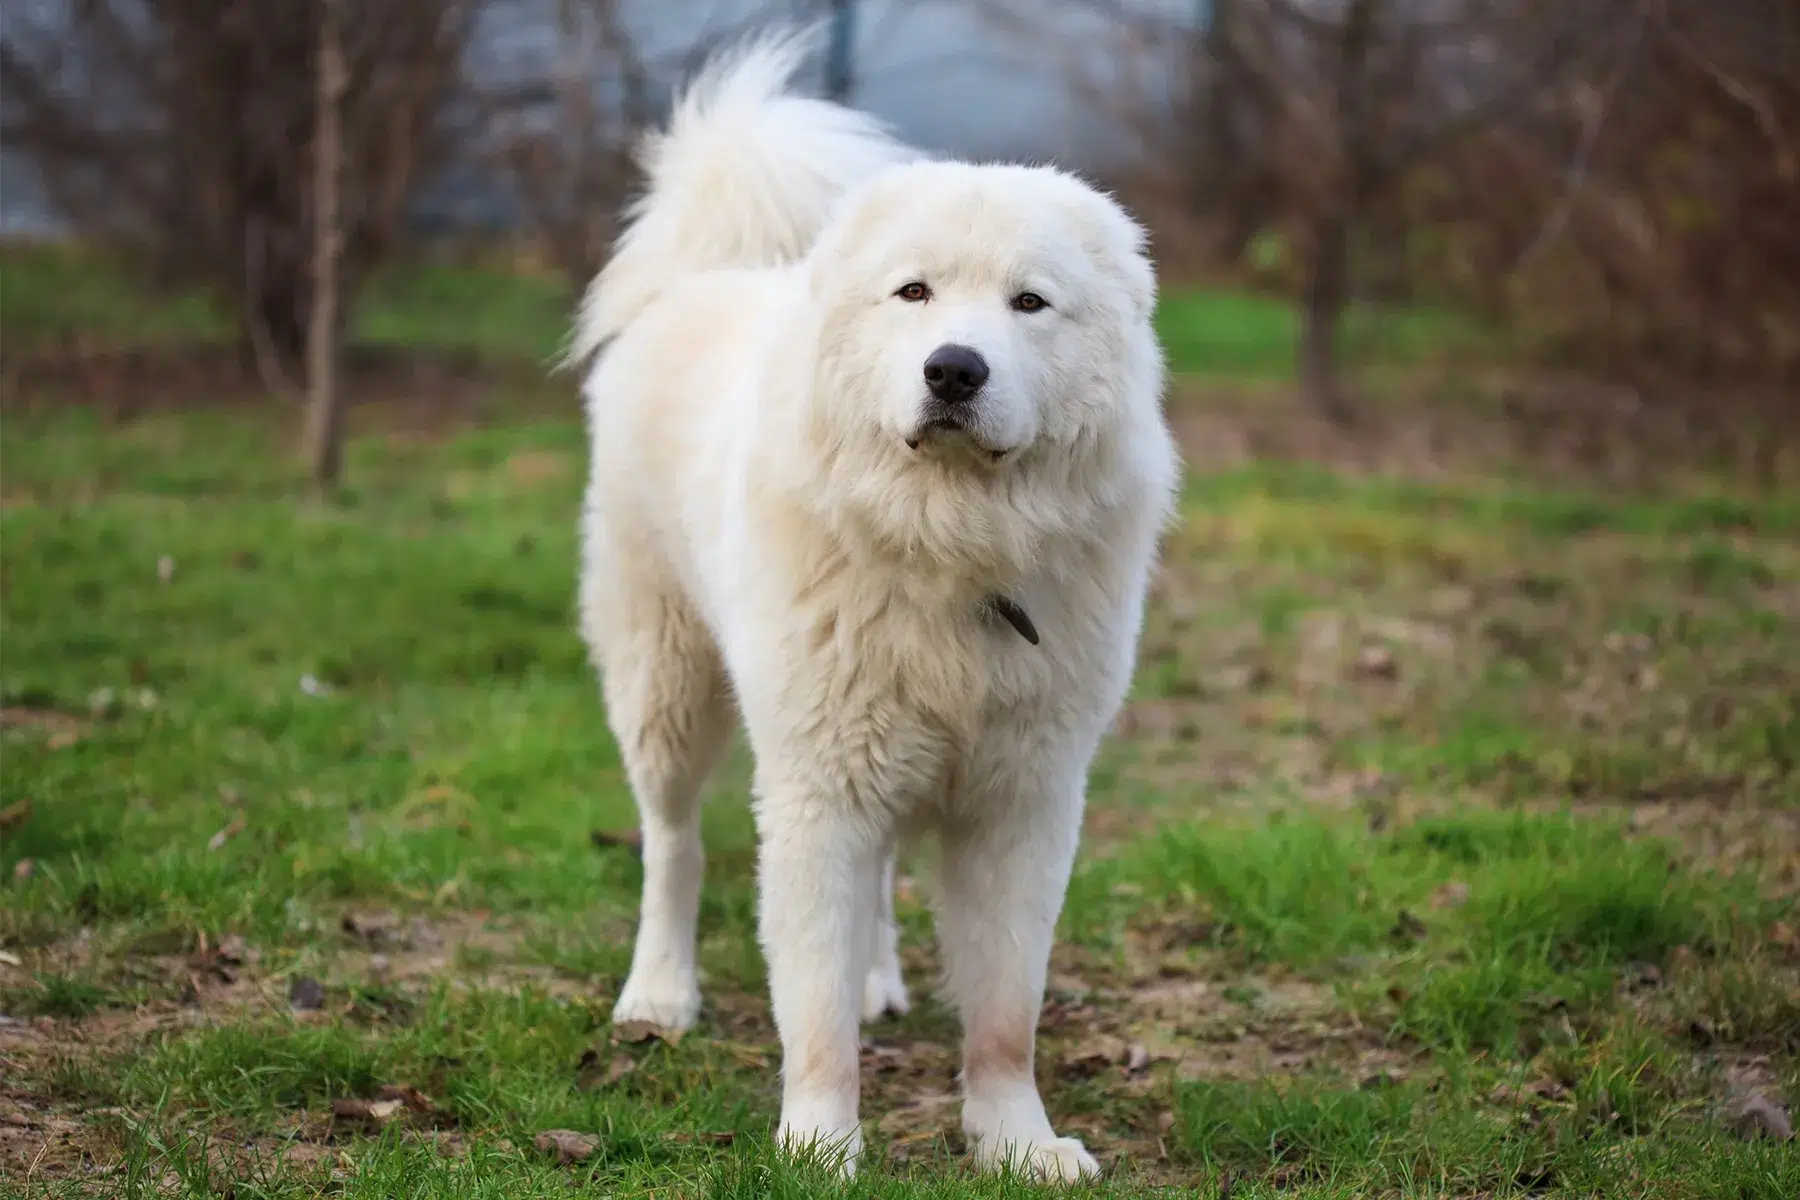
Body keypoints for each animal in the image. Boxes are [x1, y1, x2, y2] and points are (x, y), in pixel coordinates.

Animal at [568, 35, 1173, 1180]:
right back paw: (658, 995)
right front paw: (820, 1146)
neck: (951, 544)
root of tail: (714, 272)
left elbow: (1005, 1013)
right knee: (671, 846)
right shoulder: (818, 790)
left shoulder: (1020, 800)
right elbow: (810, 1013)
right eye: (914, 293)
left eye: (1030, 303)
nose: (954, 371)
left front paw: (1015, 1143)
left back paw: (877, 981)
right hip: (668, 683)